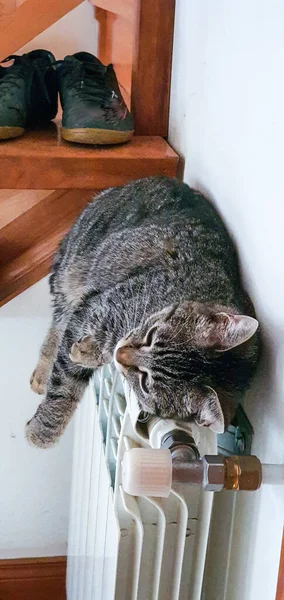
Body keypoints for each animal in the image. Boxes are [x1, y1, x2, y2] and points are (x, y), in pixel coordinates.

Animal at [26, 176, 260, 448]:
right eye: (151, 336)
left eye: (145, 382)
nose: (122, 354)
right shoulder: (95, 305)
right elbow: (64, 382)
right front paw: (43, 431)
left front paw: (91, 351)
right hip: (72, 270)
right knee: (59, 320)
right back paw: (43, 371)